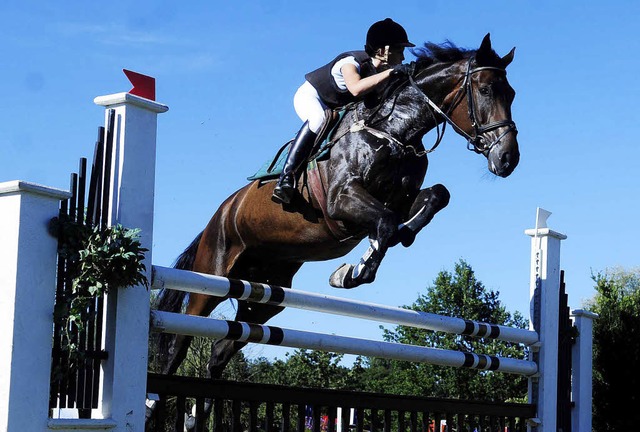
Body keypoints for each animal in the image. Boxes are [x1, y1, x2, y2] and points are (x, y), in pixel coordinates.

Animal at [156, 33, 520, 384]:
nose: (508, 159)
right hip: (212, 278)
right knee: (179, 341)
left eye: (512, 94)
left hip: (265, 294)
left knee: (222, 349)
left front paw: (397, 239)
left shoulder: (399, 199)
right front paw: (351, 273)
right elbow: (386, 223)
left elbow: (434, 199)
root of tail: (220, 214)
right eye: (485, 90)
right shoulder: (341, 200)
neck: (394, 130)